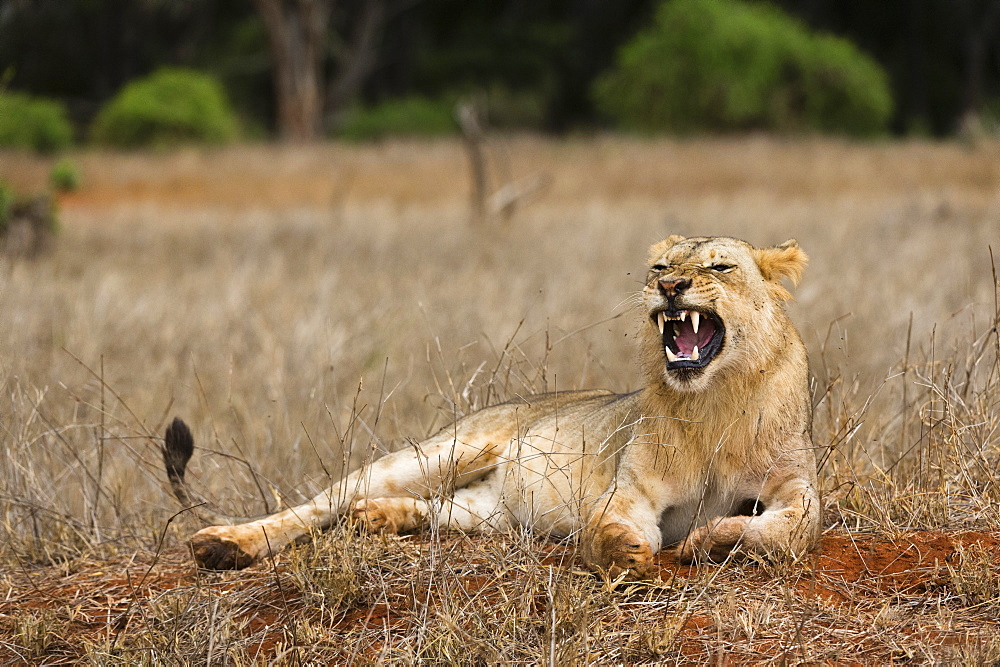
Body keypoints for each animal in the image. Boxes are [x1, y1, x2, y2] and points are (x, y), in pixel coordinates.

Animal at [164, 236, 820, 580]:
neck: (714, 403)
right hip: (445, 449)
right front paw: (626, 549)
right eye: (661, 265)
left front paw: (715, 539)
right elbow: (609, 523)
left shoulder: (797, 487)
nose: (668, 287)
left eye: (719, 266)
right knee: (321, 503)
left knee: (433, 511)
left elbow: (785, 533)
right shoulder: (630, 487)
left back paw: (381, 519)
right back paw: (226, 544)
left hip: (492, 511)